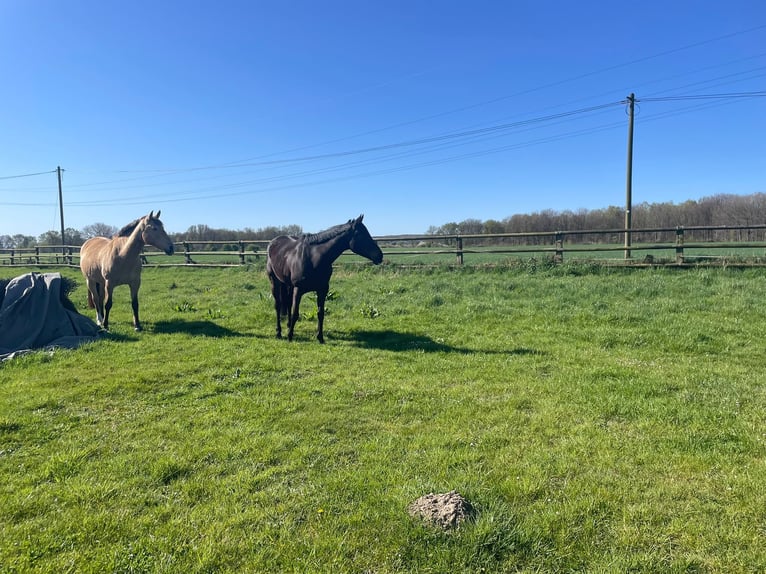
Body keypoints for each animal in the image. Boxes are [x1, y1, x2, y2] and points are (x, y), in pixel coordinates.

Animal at [266, 214, 383, 343]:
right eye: (361, 235)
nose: (380, 255)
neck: (313, 258)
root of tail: (273, 243)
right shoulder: (299, 289)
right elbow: (295, 313)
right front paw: (290, 337)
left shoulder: (322, 290)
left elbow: (320, 313)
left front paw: (320, 337)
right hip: (274, 282)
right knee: (278, 305)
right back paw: (279, 332)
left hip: (288, 285)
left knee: (287, 304)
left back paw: (287, 326)